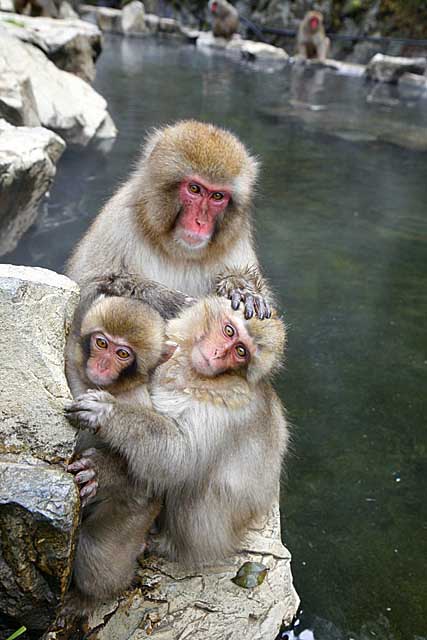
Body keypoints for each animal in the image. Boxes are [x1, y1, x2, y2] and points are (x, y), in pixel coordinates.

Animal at [67, 119, 274, 322]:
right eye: (194, 188)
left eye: (217, 196)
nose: (200, 222)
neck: (178, 251)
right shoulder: (118, 220)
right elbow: (89, 292)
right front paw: (166, 300)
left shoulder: (235, 241)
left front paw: (242, 287)